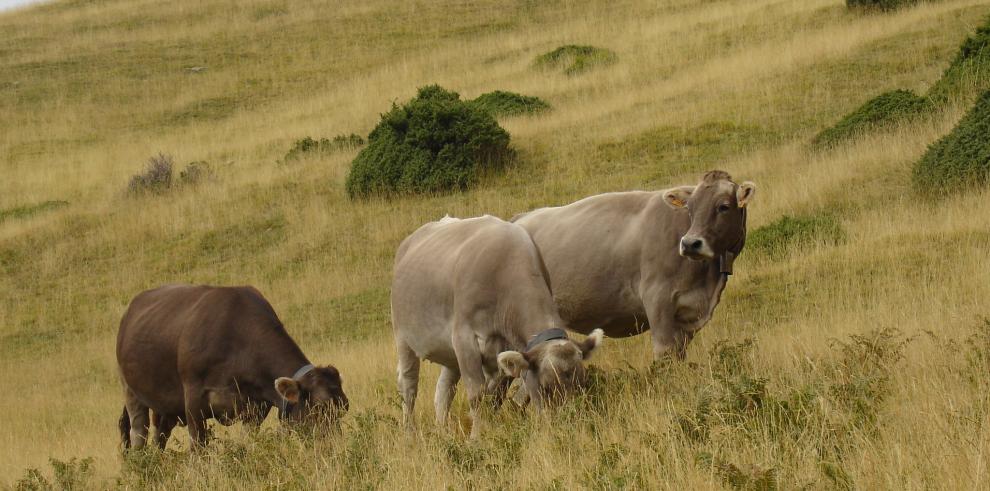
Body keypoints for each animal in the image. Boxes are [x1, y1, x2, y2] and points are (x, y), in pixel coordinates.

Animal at [116, 284, 350, 450]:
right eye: (320, 407)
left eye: (344, 408)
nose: (334, 447)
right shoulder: (193, 398)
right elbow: (198, 448)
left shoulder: (256, 408)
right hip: (131, 391)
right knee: (138, 434)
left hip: (166, 407)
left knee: (160, 437)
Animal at [392, 215, 600, 438]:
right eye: (546, 387)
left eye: (583, 383)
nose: (568, 425)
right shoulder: (464, 339)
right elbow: (477, 395)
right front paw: (476, 438)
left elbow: (494, 396)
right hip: (403, 336)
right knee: (408, 386)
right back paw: (409, 434)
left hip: (450, 353)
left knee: (444, 389)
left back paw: (443, 432)